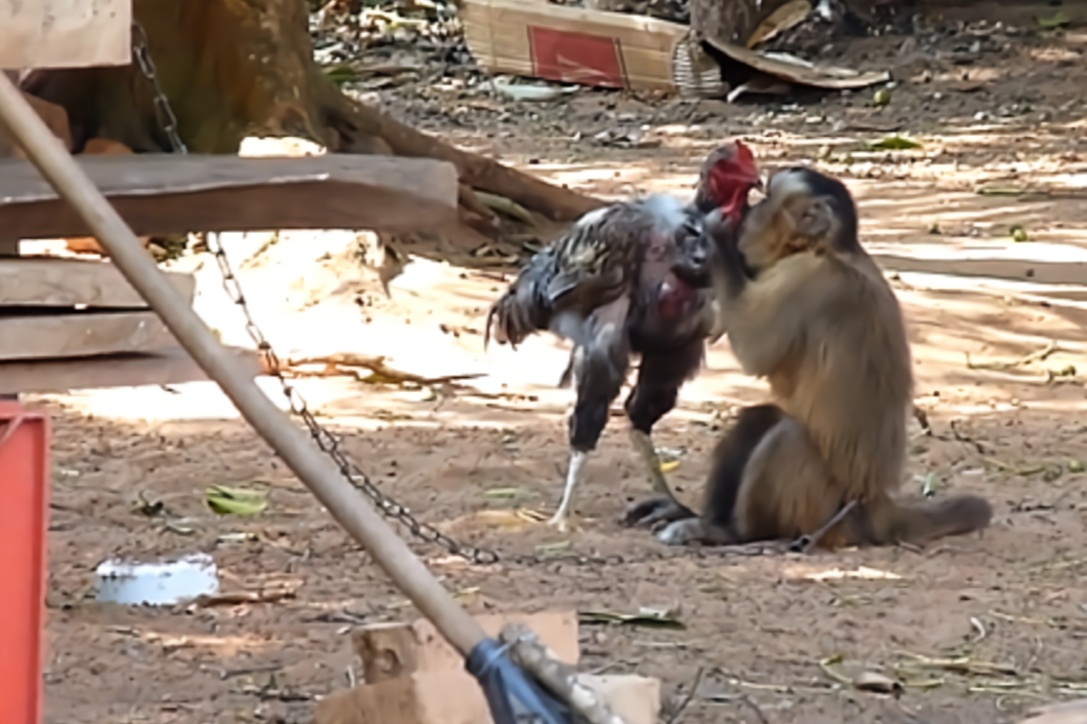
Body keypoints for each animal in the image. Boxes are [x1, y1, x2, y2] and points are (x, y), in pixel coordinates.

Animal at [630, 165, 995, 547]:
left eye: (765, 198)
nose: (746, 210)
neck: (821, 249)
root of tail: (876, 506)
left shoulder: (807, 281)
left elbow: (756, 353)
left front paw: (716, 234)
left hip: (823, 510)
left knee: (786, 434)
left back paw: (732, 532)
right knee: (760, 419)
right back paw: (701, 518)